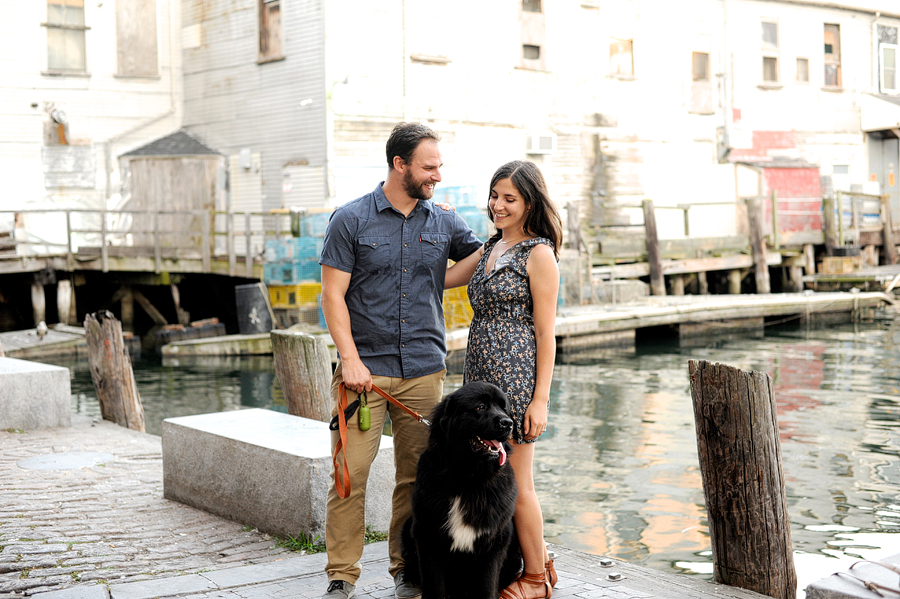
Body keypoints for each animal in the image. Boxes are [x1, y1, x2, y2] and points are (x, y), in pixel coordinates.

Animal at [400, 384, 520, 599]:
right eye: (480, 407)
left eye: (504, 408)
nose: (507, 423)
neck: (468, 478)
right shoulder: (427, 534)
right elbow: (434, 585)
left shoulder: (495, 538)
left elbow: (487, 584)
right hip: (408, 527)